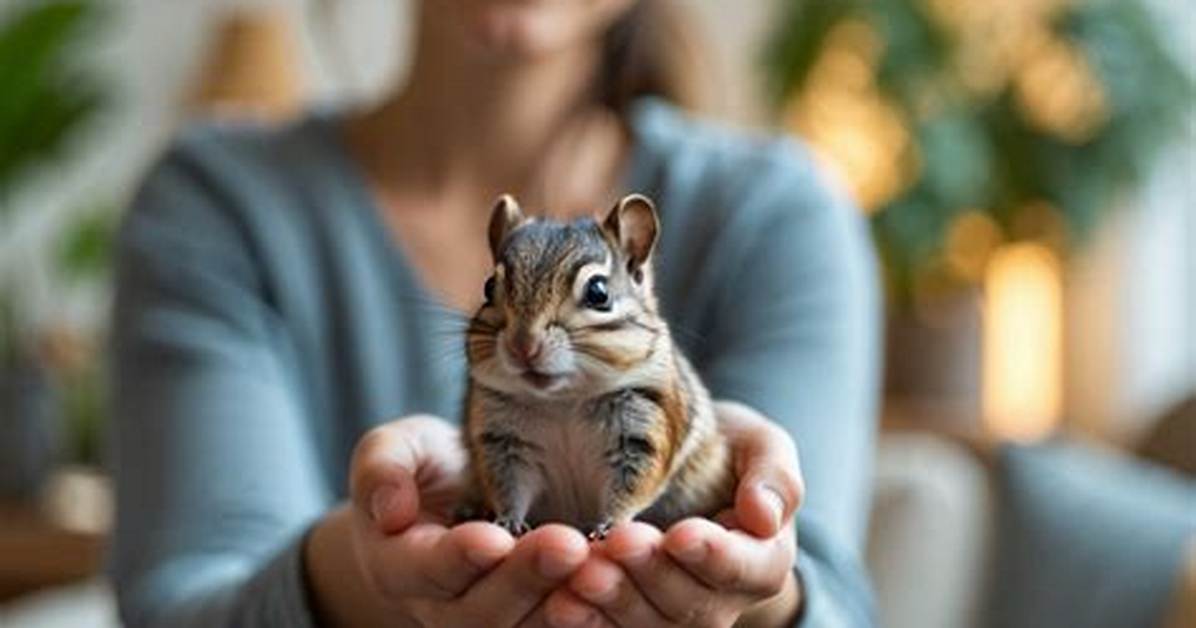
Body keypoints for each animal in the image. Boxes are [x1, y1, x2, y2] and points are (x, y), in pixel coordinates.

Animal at [460, 193, 733, 539]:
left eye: (598, 291)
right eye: (488, 288)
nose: (523, 345)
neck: (563, 400)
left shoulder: (643, 432)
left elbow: (632, 486)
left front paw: (610, 523)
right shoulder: (503, 442)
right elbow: (508, 487)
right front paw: (507, 520)